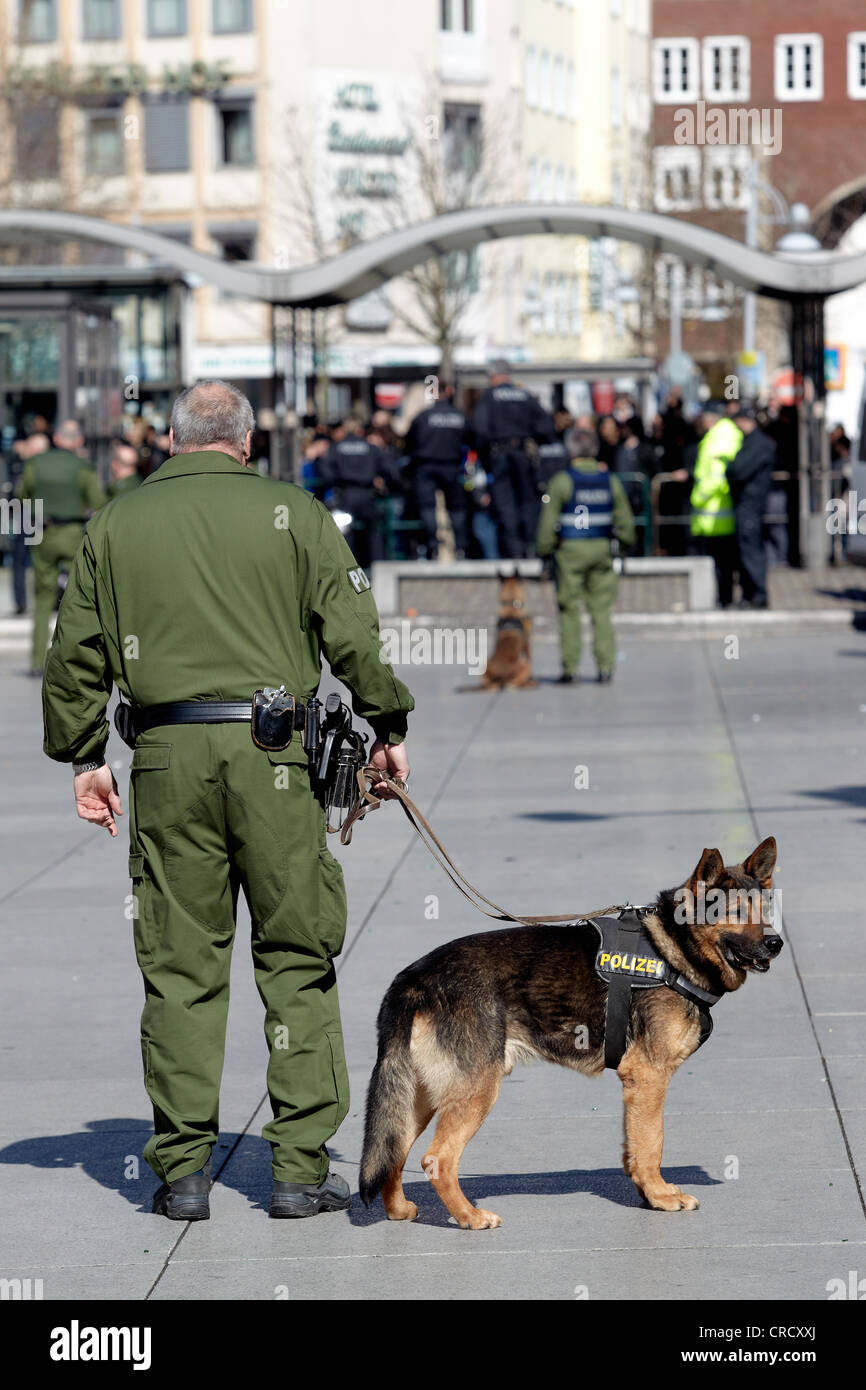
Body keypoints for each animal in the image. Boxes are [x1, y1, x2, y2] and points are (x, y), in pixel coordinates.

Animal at [361, 834, 783, 1228]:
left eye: (765, 911)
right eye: (735, 912)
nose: (776, 943)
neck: (672, 949)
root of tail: (413, 979)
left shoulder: (636, 1085)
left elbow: (635, 1147)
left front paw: (647, 1194)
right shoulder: (649, 1076)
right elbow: (653, 1143)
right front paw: (662, 1196)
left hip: (422, 1095)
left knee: (393, 1149)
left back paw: (399, 1210)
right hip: (475, 1090)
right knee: (437, 1158)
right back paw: (470, 1217)